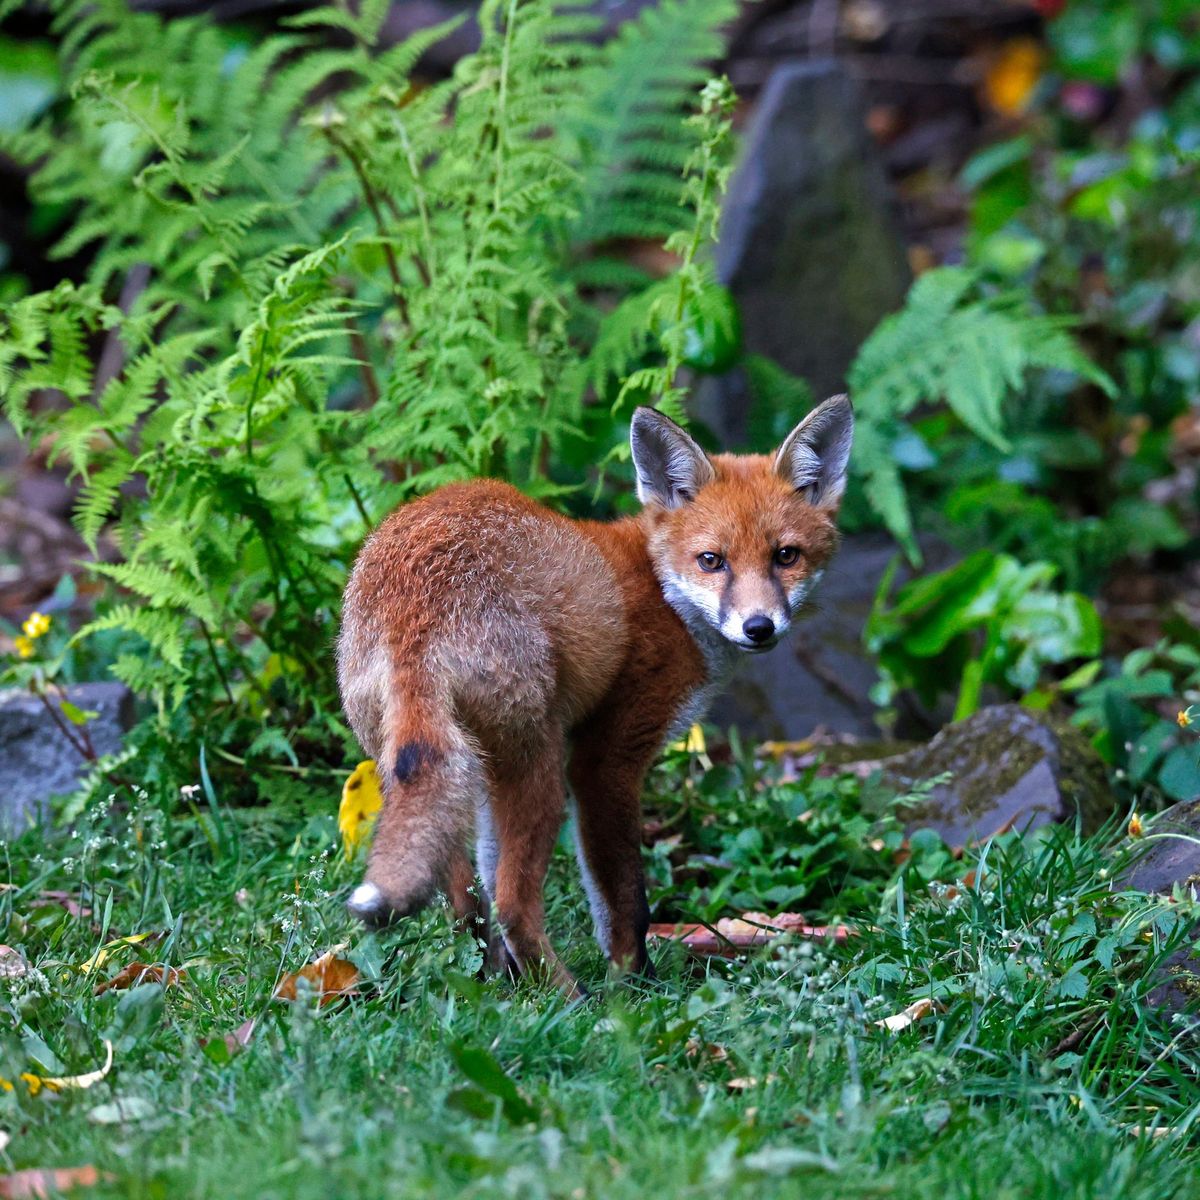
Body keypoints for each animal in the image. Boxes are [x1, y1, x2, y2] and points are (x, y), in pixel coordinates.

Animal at [338, 393, 854, 993]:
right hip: (538, 772)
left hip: (449, 768)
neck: (663, 592)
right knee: (512, 902)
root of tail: (414, 609)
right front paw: (636, 986)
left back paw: (493, 983)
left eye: (785, 556)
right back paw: (567, 998)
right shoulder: (604, 760)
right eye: (712, 560)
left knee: (468, 899)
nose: (758, 627)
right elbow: (626, 900)